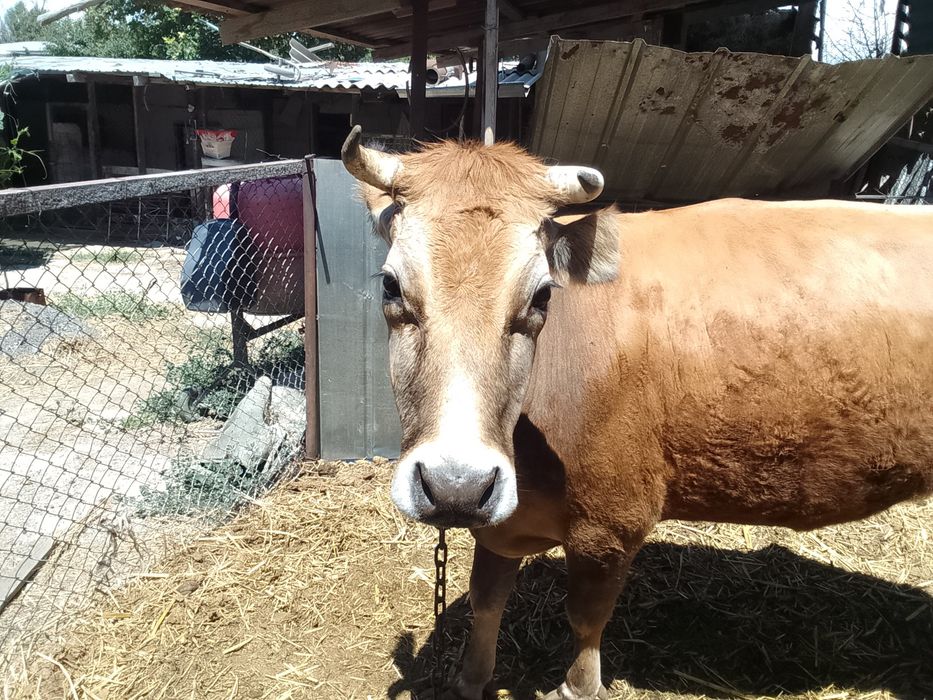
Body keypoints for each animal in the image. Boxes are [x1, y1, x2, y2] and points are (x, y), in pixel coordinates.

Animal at [340, 125, 933, 700]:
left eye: (542, 296)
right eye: (391, 284)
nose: (455, 486)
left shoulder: (613, 523)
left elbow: (585, 619)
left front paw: (576, 687)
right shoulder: (503, 519)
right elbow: (487, 600)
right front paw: (470, 681)